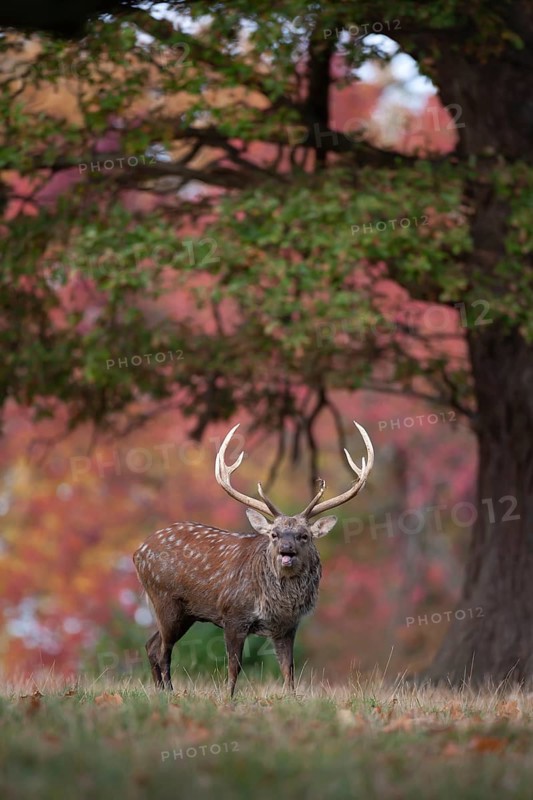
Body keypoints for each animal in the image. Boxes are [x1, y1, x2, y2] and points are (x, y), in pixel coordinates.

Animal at [133, 420, 374, 696]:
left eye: (303, 535)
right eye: (274, 534)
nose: (286, 549)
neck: (276, 602)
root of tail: (138, 551)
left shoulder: (288, 626)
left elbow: (289, 670)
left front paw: (291, 699)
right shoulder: (233, 615)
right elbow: (234, 666)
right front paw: (228, 698)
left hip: (185, 613)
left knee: (152, 645)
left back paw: (161, 691)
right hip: (166, 601)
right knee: (163, 650)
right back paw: (169, 692)